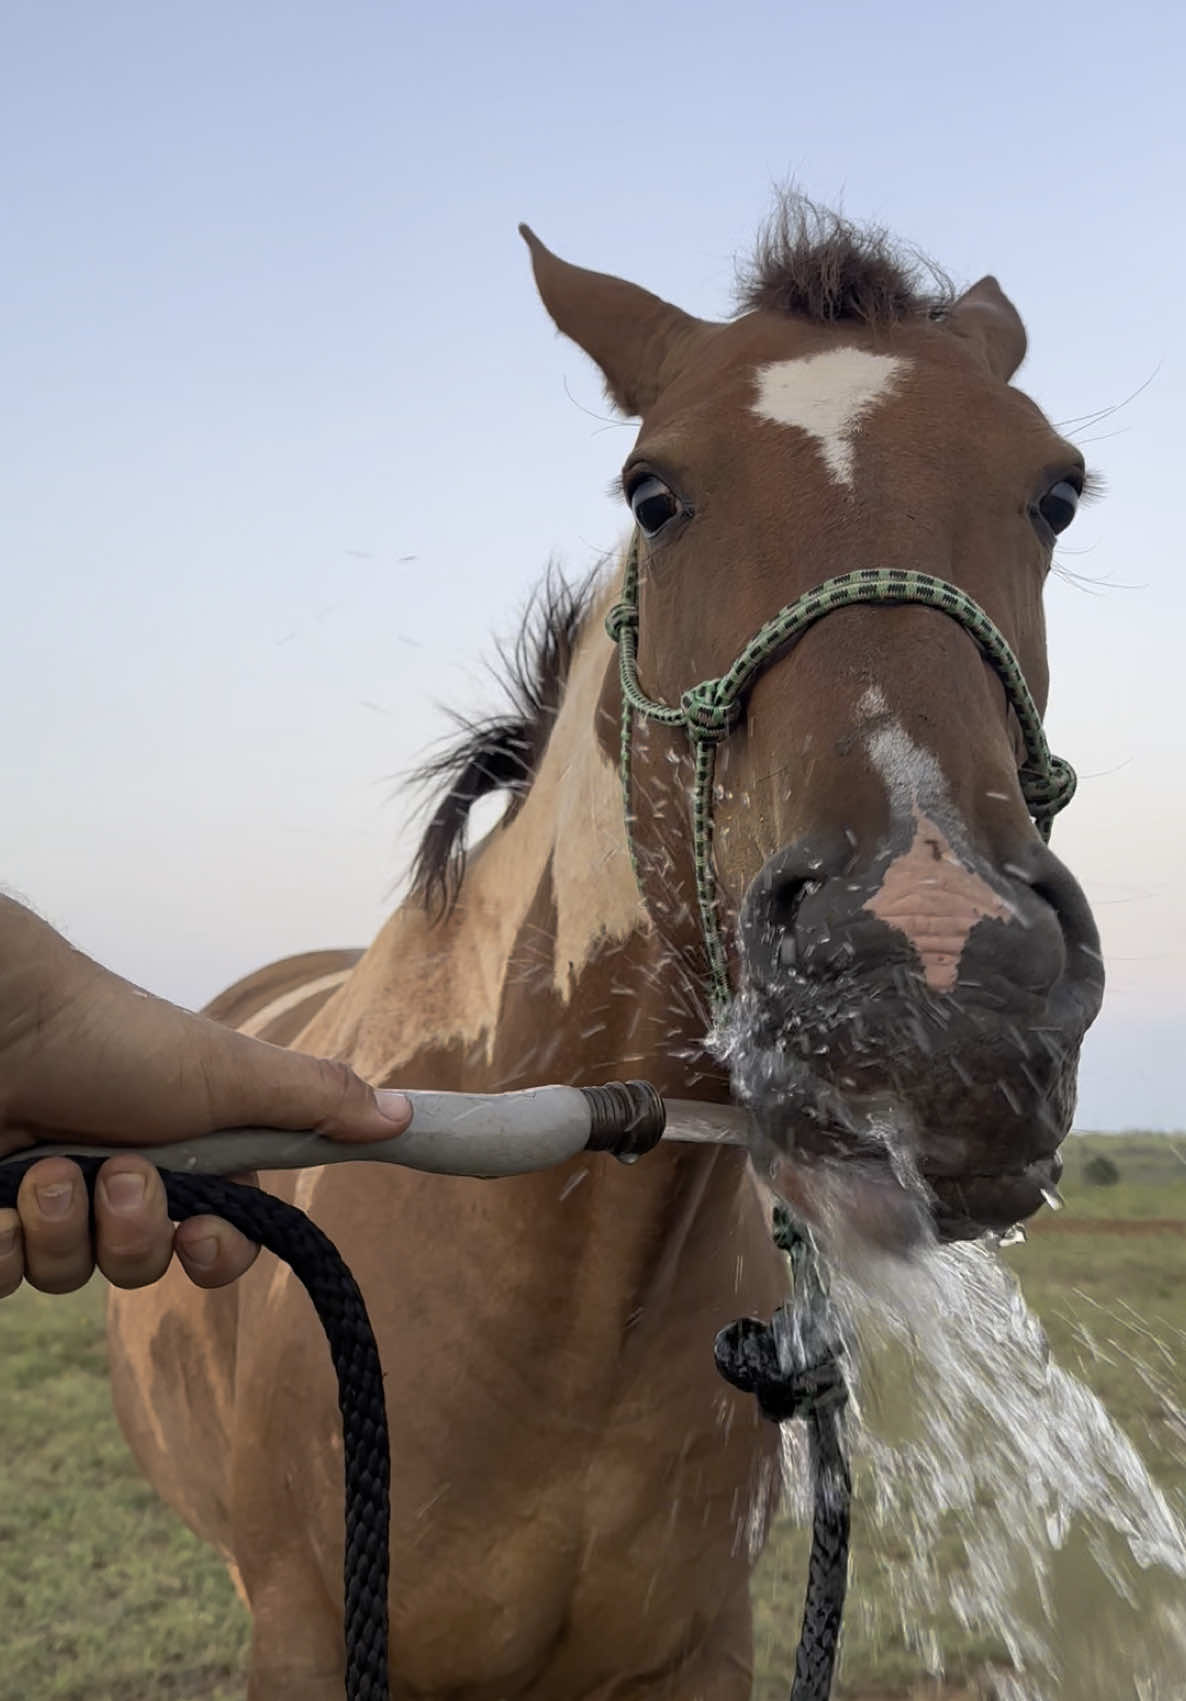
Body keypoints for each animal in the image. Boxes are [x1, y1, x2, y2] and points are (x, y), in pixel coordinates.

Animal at [107, 196, 1103, 1700]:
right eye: (654, 494)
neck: (566, 1296)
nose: (938, 970)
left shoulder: (693, 1650)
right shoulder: (303, 1638)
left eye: (1053, 492)